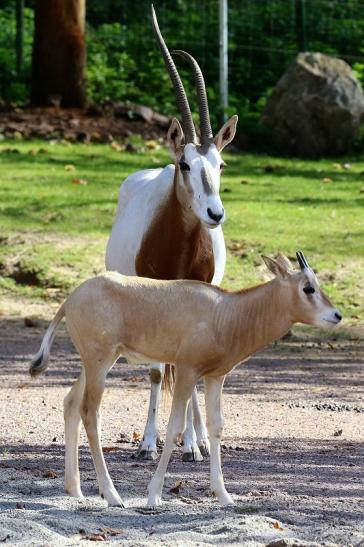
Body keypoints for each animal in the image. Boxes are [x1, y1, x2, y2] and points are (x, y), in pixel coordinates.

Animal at [29, 253, 342, 510]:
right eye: (308, 287)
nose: (337, 315)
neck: (226, 312)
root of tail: (71, 299)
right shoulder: (187, 370)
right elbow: (174, 428)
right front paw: (154, 495)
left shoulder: (215, 377)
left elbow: (217, 427)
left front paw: (224, 495)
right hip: (99, 362)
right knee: (90, 412)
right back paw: (112, 495)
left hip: (97, 362)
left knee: (71, 403)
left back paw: (75, 489)